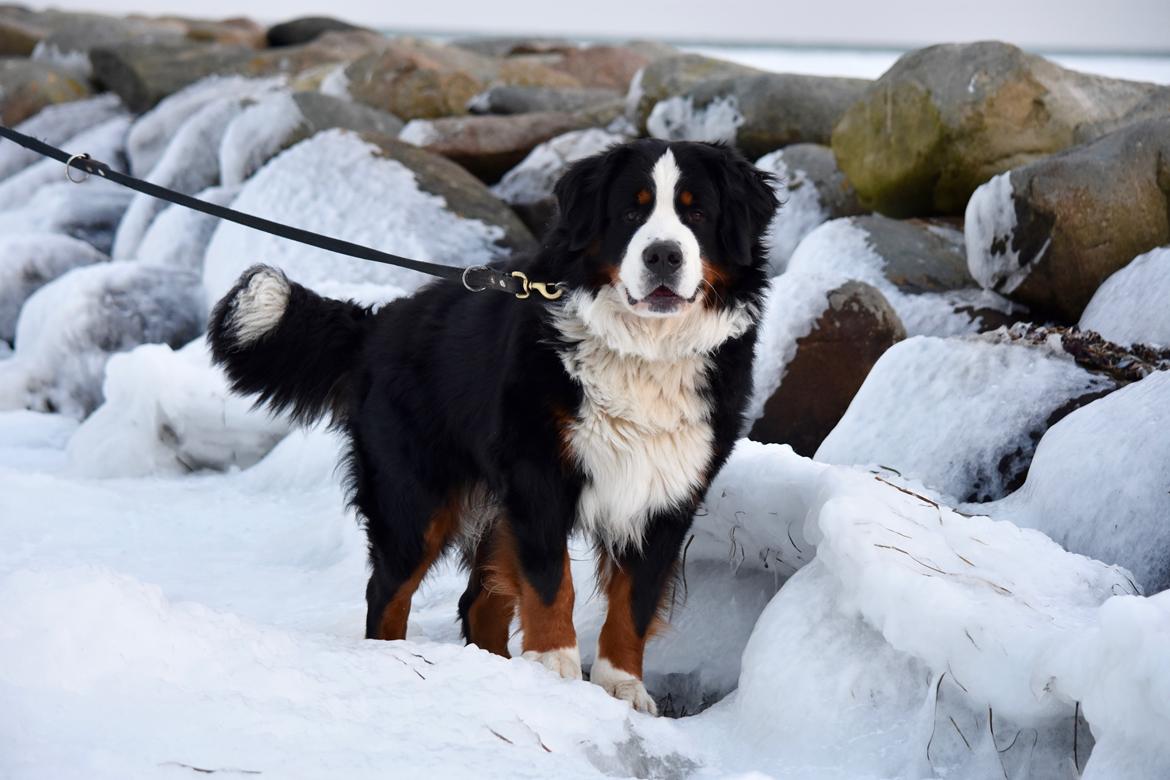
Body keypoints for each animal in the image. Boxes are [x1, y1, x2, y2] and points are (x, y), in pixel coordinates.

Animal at [210, 138, 776, 715]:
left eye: (697, 212)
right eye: (630, 212)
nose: (663, 254)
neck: (643, 353)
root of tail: (381, 322)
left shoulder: (665, 490)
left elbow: (633, 601)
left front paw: (622, 685)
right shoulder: (539, 475)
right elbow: (551, 582)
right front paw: (554, 665)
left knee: (477, 602)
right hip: (413, 500)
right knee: (388, 592)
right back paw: (394, 662)